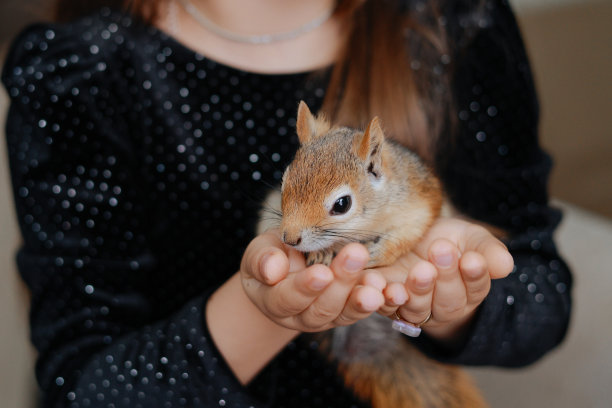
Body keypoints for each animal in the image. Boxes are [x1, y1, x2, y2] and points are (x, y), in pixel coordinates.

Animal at [256, 102, 486, 408]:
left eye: (342, 204)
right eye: (284, 183)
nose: (290, 239)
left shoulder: (420, 205)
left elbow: (407, 235)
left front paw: (377, 253)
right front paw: (322, 251)